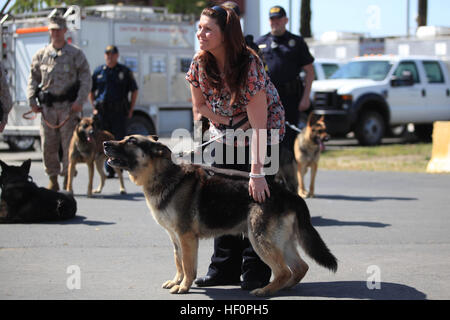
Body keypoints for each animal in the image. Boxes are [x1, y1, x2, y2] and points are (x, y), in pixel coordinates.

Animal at [103, 134, 336, 296]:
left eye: (131, 141)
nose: (105, 143)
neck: (163, 175)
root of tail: (288, 193)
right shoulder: (175, 238)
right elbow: (179, 262)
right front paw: (177, 281)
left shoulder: (186, 238)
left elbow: (187, 265)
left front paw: (184, 286)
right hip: (280, 241)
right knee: (300, 267)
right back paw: (284, 287)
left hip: (259, 239)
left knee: (284, 270)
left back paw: (266, 290)